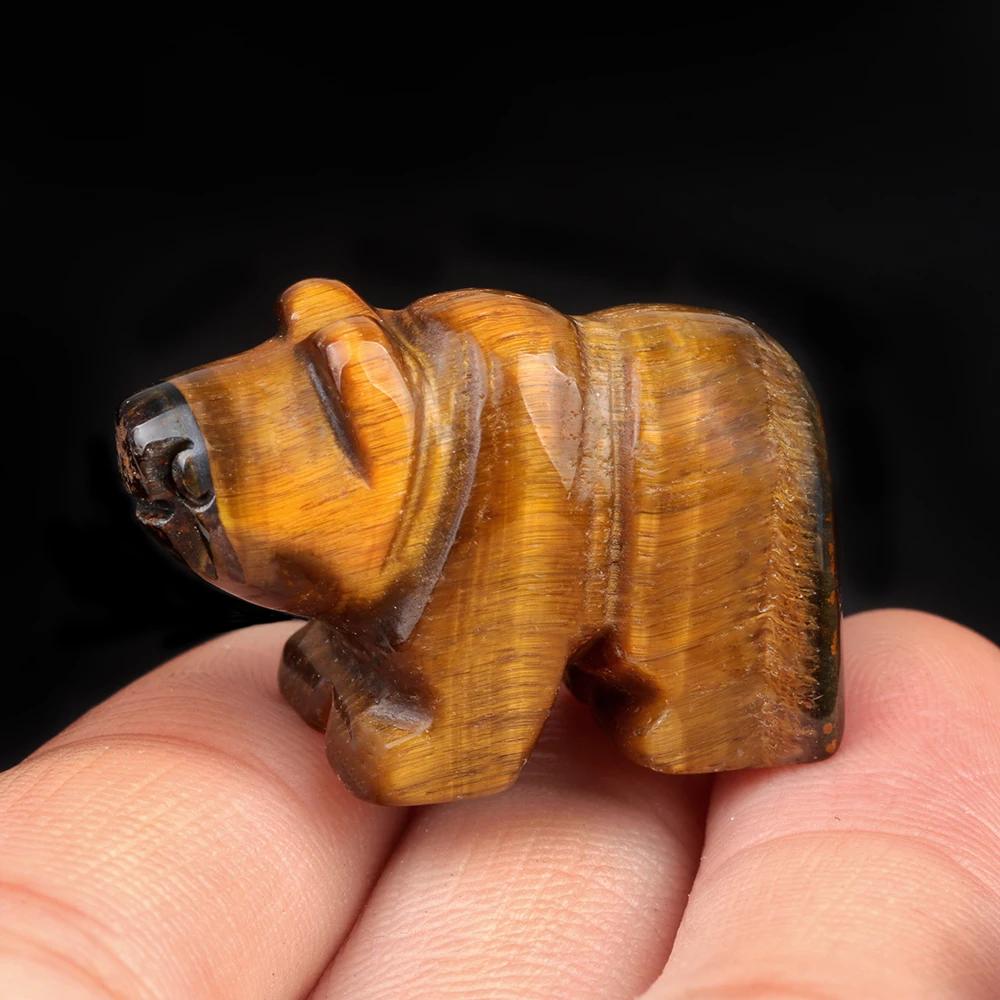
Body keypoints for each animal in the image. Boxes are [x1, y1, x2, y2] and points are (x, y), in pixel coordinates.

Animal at [116, 278, 842, 806]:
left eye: (330, 383)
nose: (148, 438)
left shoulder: (507, 534)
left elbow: (451, 728)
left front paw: (379, 744)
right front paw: (316, 670)